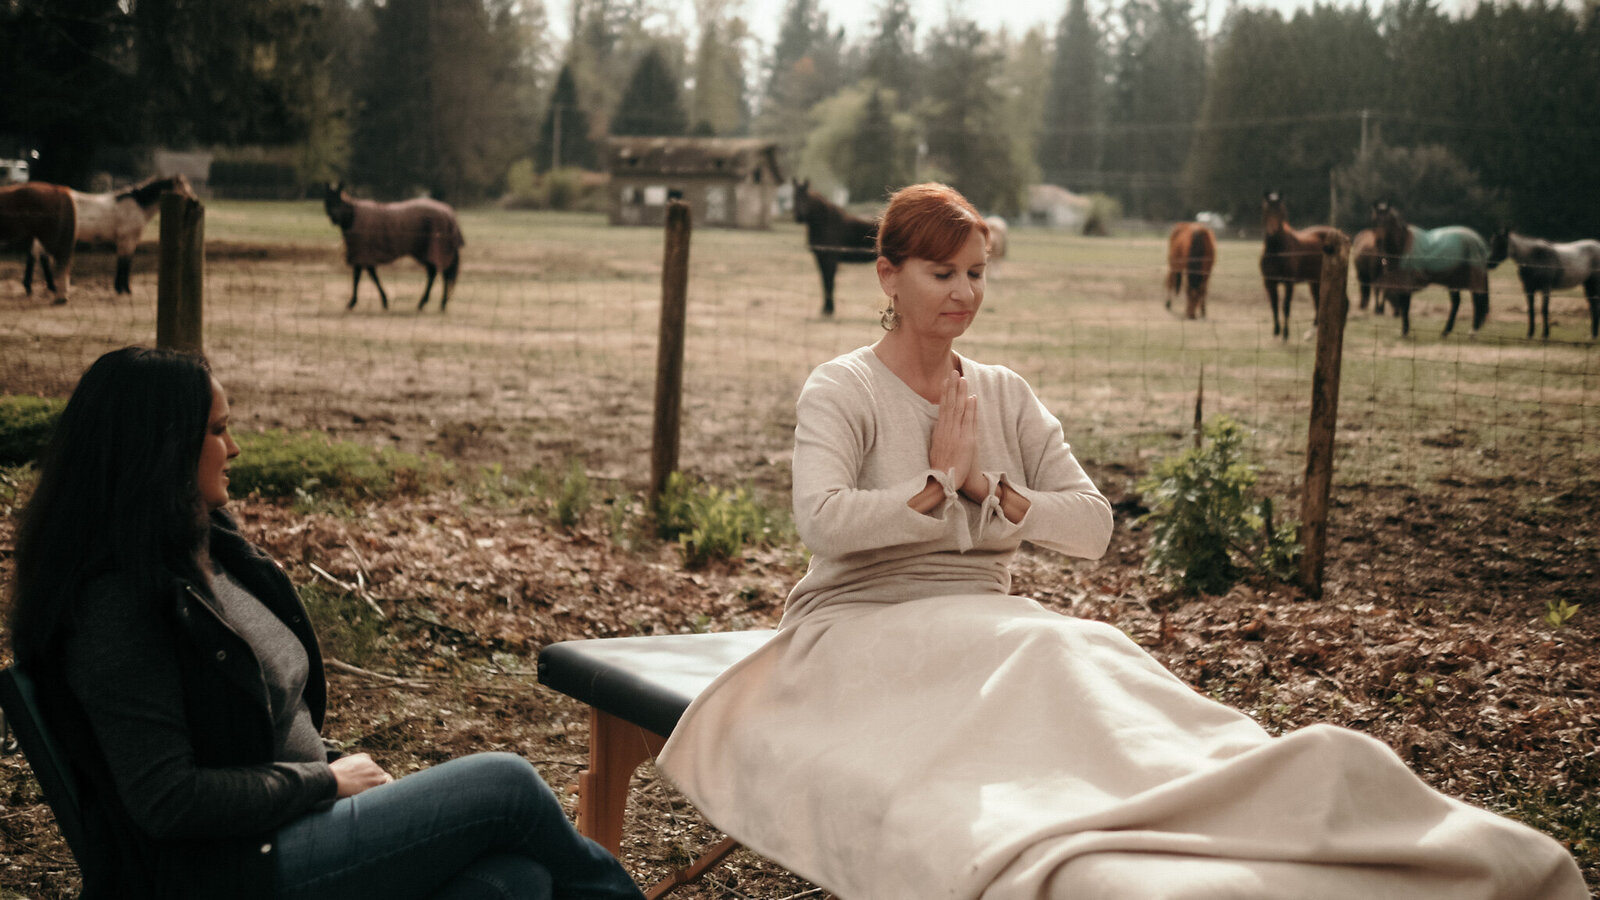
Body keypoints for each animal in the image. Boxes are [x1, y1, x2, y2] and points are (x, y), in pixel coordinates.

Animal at [25, 169, 196, 293]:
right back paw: (41, 287)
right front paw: (124, 289)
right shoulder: (126, 240)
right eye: (183, 188)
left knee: (38, 255)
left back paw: (40, 287)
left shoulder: (130, 241)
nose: (195, 201)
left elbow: (125, 261)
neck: (137, 205)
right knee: (38, 255)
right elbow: (124, 262)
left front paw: (121, 288)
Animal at [321, 180, 464, 310]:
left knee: (437, 273)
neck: (353, 217)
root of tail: (450, 215)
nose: (334, 217)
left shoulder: (362, 252)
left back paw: (427, 303)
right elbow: (368, 275)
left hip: (433, 249)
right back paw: (439, 303)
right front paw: (380, 301)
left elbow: (362, 276)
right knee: (440, 274)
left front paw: (355, 302)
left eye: (338, 200)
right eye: (328, 200)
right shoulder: (362, 253)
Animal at [793, 177, 883, 315]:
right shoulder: (820, 258)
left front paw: (829, 310)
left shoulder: (831, 259)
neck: (826, 223)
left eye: (805, 196)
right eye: (794, 196)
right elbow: (824, 282)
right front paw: (826, 308)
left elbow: (830, 282)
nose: (799, 217)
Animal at [1254, 190, 1344, 337]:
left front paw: (1285, 334)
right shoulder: (1269, 282)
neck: (1276, 251)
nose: (1272, 232)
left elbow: (1286, 306)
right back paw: (1312, 332)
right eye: (1265, 210)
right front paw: (1276, 332)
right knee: (1318, 301)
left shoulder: (1289, 283)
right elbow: (1274, 305)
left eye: (1281, 211)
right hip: (1315, 281)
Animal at [1369, 201, 1491, 337]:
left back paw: (1472, 331)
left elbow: (1405, 306)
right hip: (1454, 281)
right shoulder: (1400, 283)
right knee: (1457, 303)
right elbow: (1403, 305)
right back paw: (1445, 332)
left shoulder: (1406, 283)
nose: (1378, 243)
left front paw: (1404, 332)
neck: (1402, 246)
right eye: (1374, 220)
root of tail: (1479, 241)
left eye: (1388, 221)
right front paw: (1404, 330)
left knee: (1477, 301)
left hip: (1473, 278)